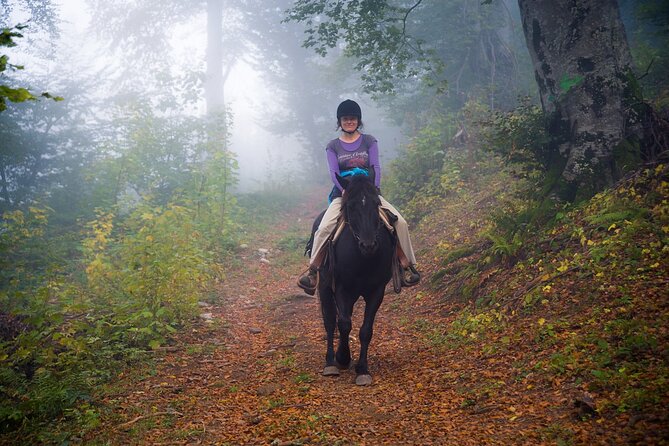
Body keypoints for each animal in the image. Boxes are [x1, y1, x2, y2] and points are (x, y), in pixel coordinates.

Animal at [310, 172, 396, 386]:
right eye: (350, 206)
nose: (368, 245)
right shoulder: (341, 288)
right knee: (330, 321)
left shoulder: (377, 291)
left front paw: (362, 369)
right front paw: (342, 358)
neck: (362, 258)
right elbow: (344, 323)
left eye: (376, 203)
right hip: (325, 287)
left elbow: (366, 330)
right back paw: (330, 363)